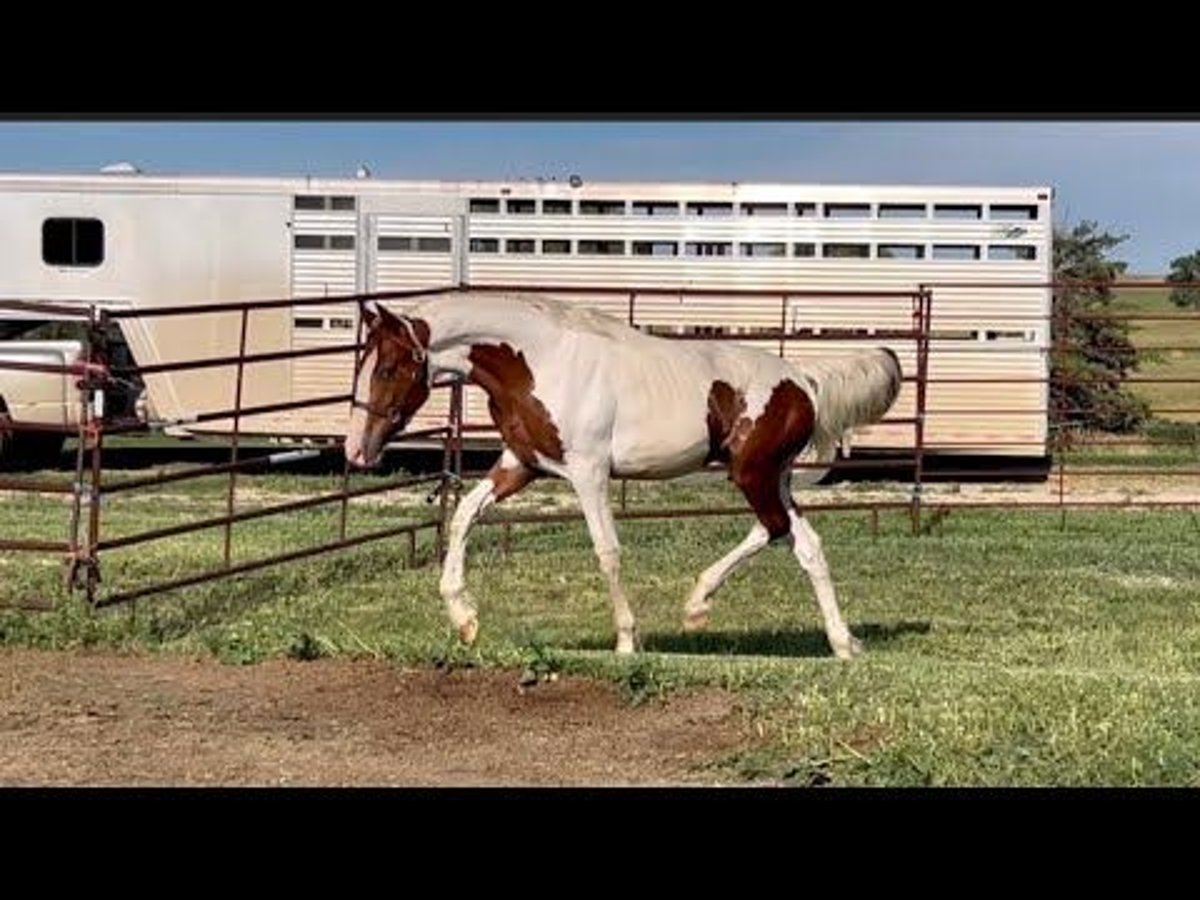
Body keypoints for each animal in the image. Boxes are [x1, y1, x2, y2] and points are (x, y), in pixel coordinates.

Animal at [344, 292, 902, 659]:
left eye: (388, 369)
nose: (356, 450)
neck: (540, 361)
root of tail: (803, 380)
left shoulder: (588, 471)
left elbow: (607, 551)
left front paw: (628, 640)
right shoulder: (520, 464)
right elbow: (462, 516)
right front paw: (464, 620)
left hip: (753, 474)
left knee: (778, 529)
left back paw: (702, 607)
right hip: (773, 477)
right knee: (802, 542)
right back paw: (839, 642)